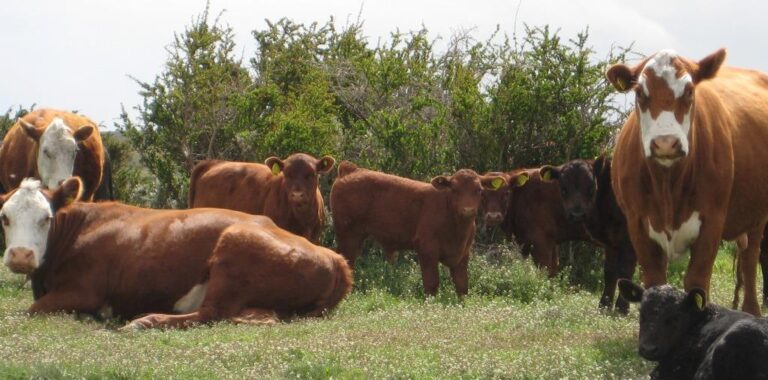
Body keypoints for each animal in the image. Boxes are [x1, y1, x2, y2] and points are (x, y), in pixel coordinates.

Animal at [0, 177, 352, 328]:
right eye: (4, 217)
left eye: (46, 218)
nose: (20, 255)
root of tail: (333, 257)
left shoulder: (83, 290)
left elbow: (29, 310)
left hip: (234, 249)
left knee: (210, 314)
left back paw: (144, 321)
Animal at [328, 162, 504, 296]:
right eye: (454, 190)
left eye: (479, 190)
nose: (467, 210)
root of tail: (351, 169)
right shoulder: (427, 250)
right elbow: (431, 283)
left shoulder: (462, 255)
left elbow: (462, 285)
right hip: (348, 236)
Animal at [608, 49, 768, 316]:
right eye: (640, 92)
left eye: (690, 91)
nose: (665, 143)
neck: (668, 186)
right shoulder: (637, 222)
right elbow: (655, 280)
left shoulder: (712, 221)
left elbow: (697, 281)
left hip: (757, 218)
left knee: (749, 260)